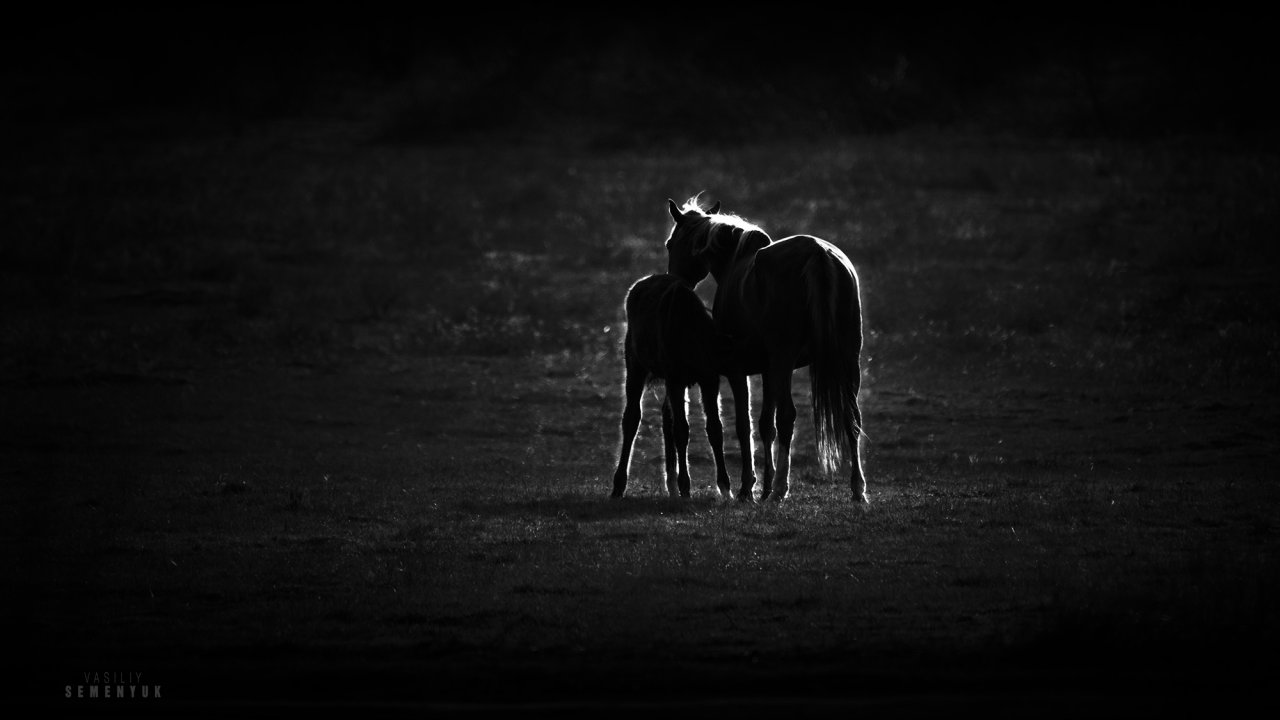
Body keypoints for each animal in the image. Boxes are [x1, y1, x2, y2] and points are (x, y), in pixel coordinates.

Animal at [616, 271, 737, 497]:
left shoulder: (709, 379)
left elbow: (715, 428)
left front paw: (725, 487)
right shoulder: (675, 378)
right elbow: (681, 430)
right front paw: (685, 487)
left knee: (665, 415)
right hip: (635, 365)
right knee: (631, 418)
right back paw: (618, 485)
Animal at [665, 193, 865, 502]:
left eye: (671, 244)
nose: (675, 281)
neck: (734, 261)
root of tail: (818, 254)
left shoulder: (740, 371)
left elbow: (744, 425)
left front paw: (749, 486)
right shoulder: (770, 371)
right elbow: (765, 425)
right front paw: (764, 484)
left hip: (788, 359)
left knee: (788, 417)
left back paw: (781, 488)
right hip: (847, 357)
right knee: (851, 416)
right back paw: (857, 489)